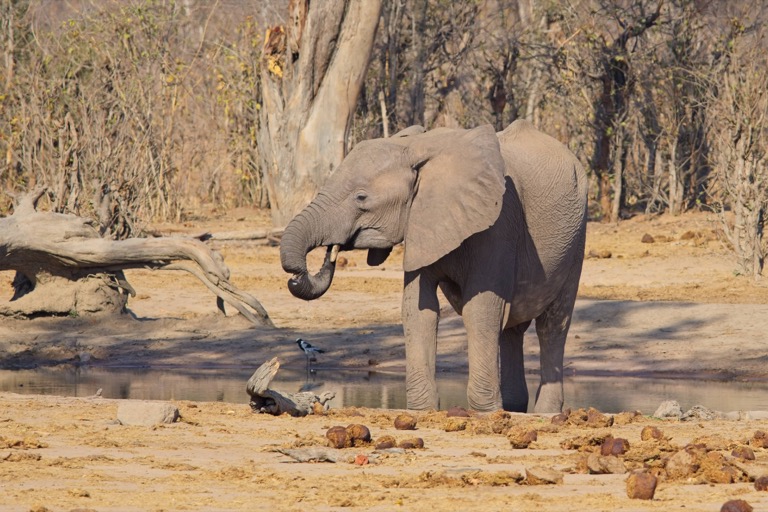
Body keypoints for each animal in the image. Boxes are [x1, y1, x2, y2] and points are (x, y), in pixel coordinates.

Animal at [280, 120, 588, 413]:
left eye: (361, 197)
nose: (296, 276)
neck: (419, 147)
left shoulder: (499, 222)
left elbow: (481, 309)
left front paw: (484, 411)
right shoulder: (420, 221)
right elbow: (418, 310)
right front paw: (422, 410)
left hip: (576, 238)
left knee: (552, 325)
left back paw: (544, 412)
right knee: (512, 329)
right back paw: (513, 407)